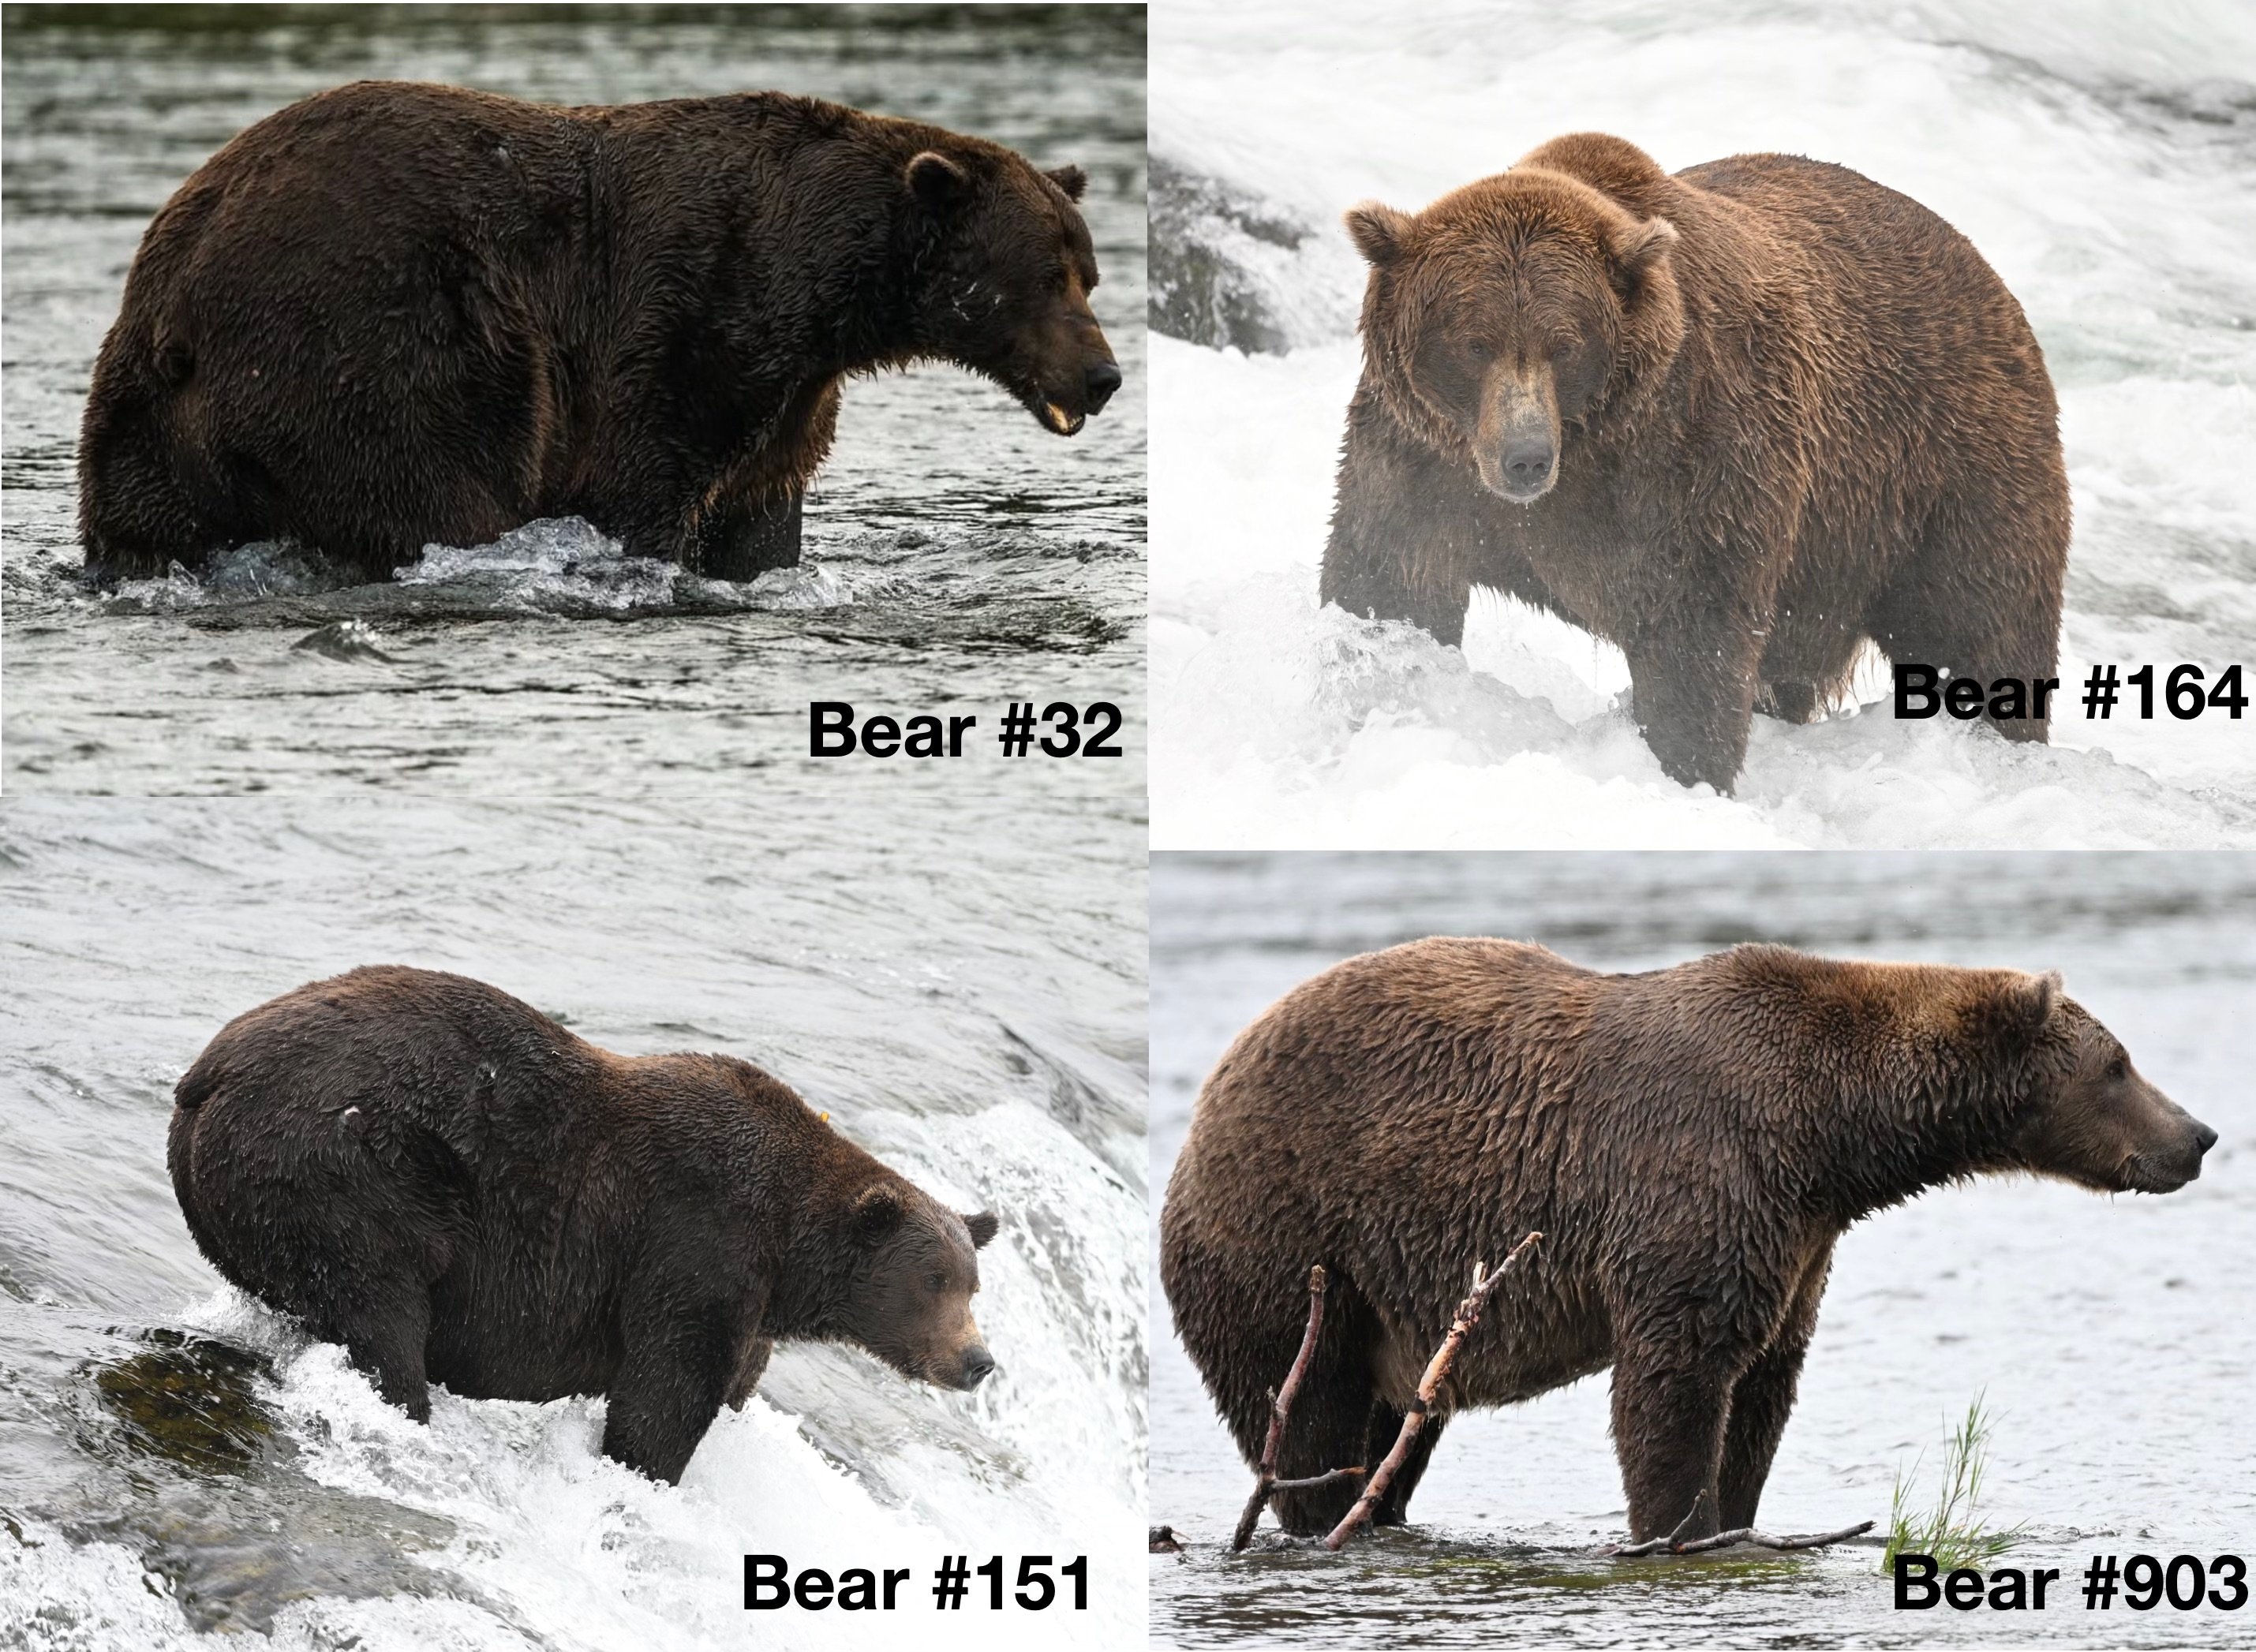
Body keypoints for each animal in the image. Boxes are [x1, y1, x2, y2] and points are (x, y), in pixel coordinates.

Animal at [79, 79, 1120, 586]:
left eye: (1089, 271)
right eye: (1046, 275)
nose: (1105, 376)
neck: (824, 290)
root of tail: (177, 305)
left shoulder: (793, 389)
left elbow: (762, 509)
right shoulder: (694, 319)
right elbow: (644, 485)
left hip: (144, 423)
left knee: (142, 525)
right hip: (375, 349)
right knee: (432, 491)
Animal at [167, 965, 1000, 1485]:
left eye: (972, 1285)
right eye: (934, 1282)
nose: (978, 1361)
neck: (791, 1253)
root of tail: (208, 1072)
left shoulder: (751, 1300)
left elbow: (731, 1381)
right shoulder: (698, 1242)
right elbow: (666, 1392)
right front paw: (643, 1472)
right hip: (348, 1169)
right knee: (380, 1309)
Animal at [1160, 939, 2215, 1544]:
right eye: (2119, 1064)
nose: (2199, 1135)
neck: (1832, 1132)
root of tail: (1203, 1109)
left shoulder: (1796, 1240)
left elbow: (1762, 1389)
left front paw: (1737, 1517)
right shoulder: (1698, 1182)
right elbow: (1678, 1381)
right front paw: (1678, 1525)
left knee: (1394, 1434)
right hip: (1293, 1238)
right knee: (1305, 1414)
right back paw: (1319, 1516)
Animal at [1320, 133, 2069, 792]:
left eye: (1564, 344)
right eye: (1473, 342)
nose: (1524, 459)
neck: (1589, 449)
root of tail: (1991, 282)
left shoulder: (1692, 461)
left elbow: (1692, 640)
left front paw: (1683, 770)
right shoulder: (1420, 464)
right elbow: (1388, 583)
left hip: (1943, 482)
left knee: (1983, 629)